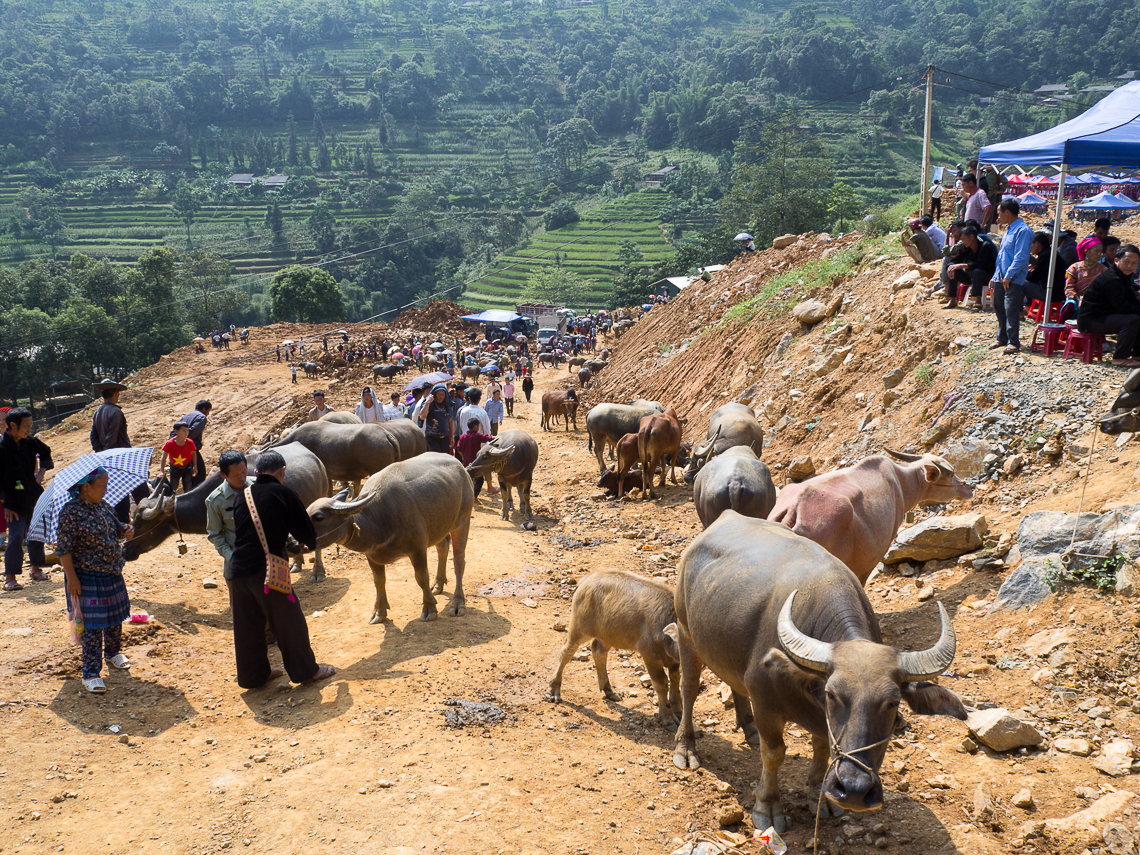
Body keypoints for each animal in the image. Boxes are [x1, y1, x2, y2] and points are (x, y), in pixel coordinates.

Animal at [303, 451, 471, 624]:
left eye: (319, 517)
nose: (294, 543)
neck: (379, 519)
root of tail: (461, 467)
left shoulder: (418, 549)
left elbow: (422, 578)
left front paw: (429, 608)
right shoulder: (371, 555)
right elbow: (379, 581)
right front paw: (379, 611)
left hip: (463, 521)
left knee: (459, 561)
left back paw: (458, 603)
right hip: (440, 526)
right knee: (442, 546)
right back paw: (438, 584)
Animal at [547, 570, 679, 729]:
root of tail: (587, 579)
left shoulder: (675, 661)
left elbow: (676, 679)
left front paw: (679, 709)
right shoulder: (649, 656)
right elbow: (661, 684)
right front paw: (668, 719)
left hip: (608, 634)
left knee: (598, 650)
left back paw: (609, 691)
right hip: (579, 628)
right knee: (566, 652)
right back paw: (553, 689)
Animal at [665, 513, 962, 834]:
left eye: (893, 703)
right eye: (832, 695)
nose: (855, 790)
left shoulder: (822, 722)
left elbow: (821, 749)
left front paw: (819, 797)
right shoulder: (767, 704)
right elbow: (774, 754)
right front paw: (768, 807)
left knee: (735, 683)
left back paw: (748, 728)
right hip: (686, 634)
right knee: (689, 689)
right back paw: (686, 748)